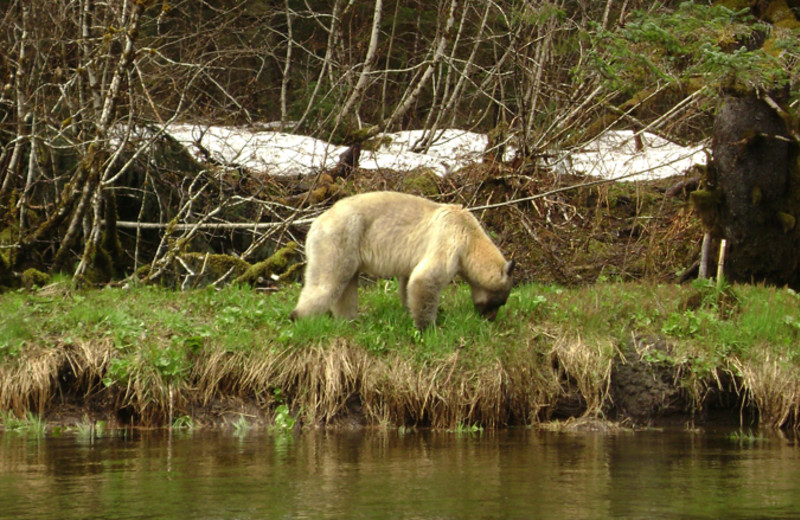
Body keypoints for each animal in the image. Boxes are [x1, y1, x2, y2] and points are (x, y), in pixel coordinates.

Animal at [290, 191, 516, 330]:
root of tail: (315, 224)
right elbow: (426, 278)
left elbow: (408, 282)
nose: (490, 319)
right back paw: (299, 317)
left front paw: (411, 311)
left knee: (345, 289)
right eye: (501, 301)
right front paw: (429, 326)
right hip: (340, 239)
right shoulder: (449, 238)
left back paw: (350, 321)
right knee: (326, 284)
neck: (471, 238)